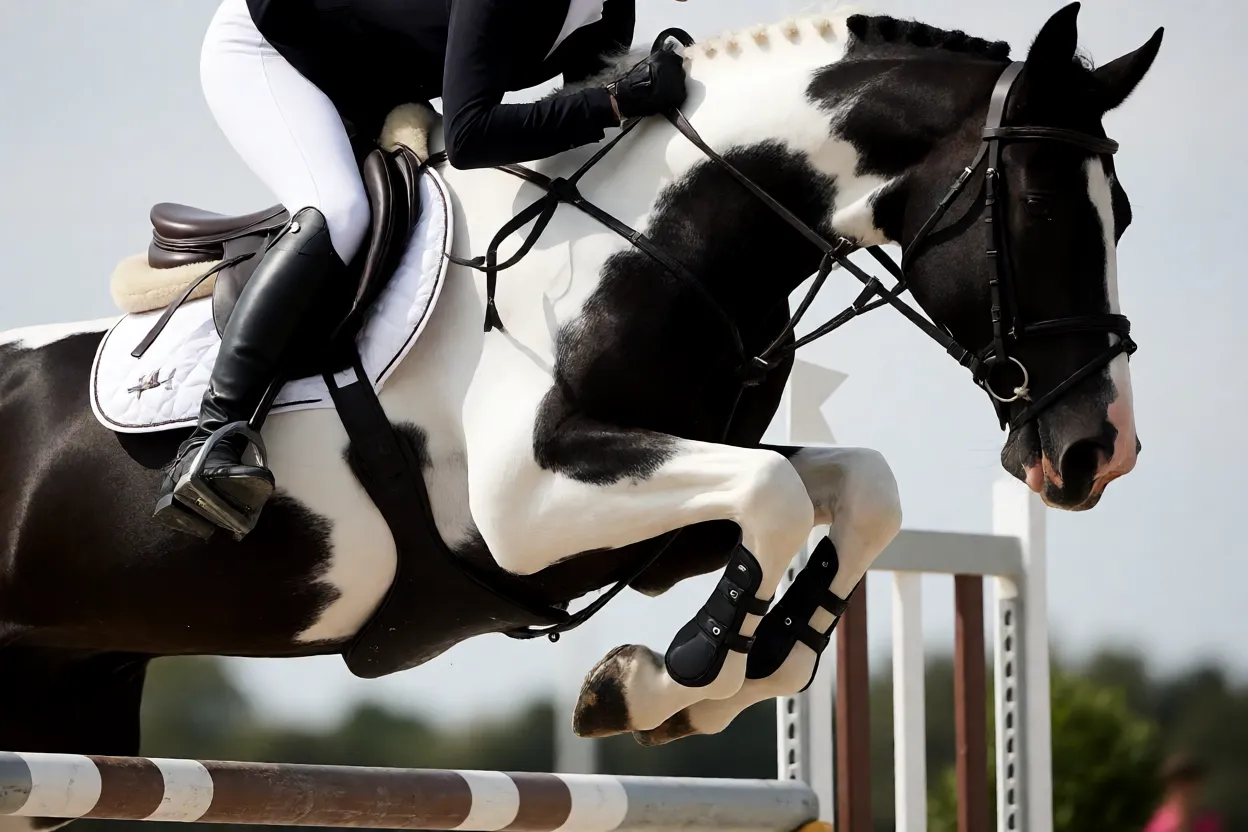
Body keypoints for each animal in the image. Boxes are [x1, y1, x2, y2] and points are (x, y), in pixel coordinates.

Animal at [0, 4, 1162, 826]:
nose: (1098, 452)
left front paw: (699, 677)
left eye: (1123, 215)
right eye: (1041, 207)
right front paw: (681, 669)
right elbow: (778, 491)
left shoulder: (639, 525)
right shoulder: (530, 508)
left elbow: (848, 488)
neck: (664, 243)